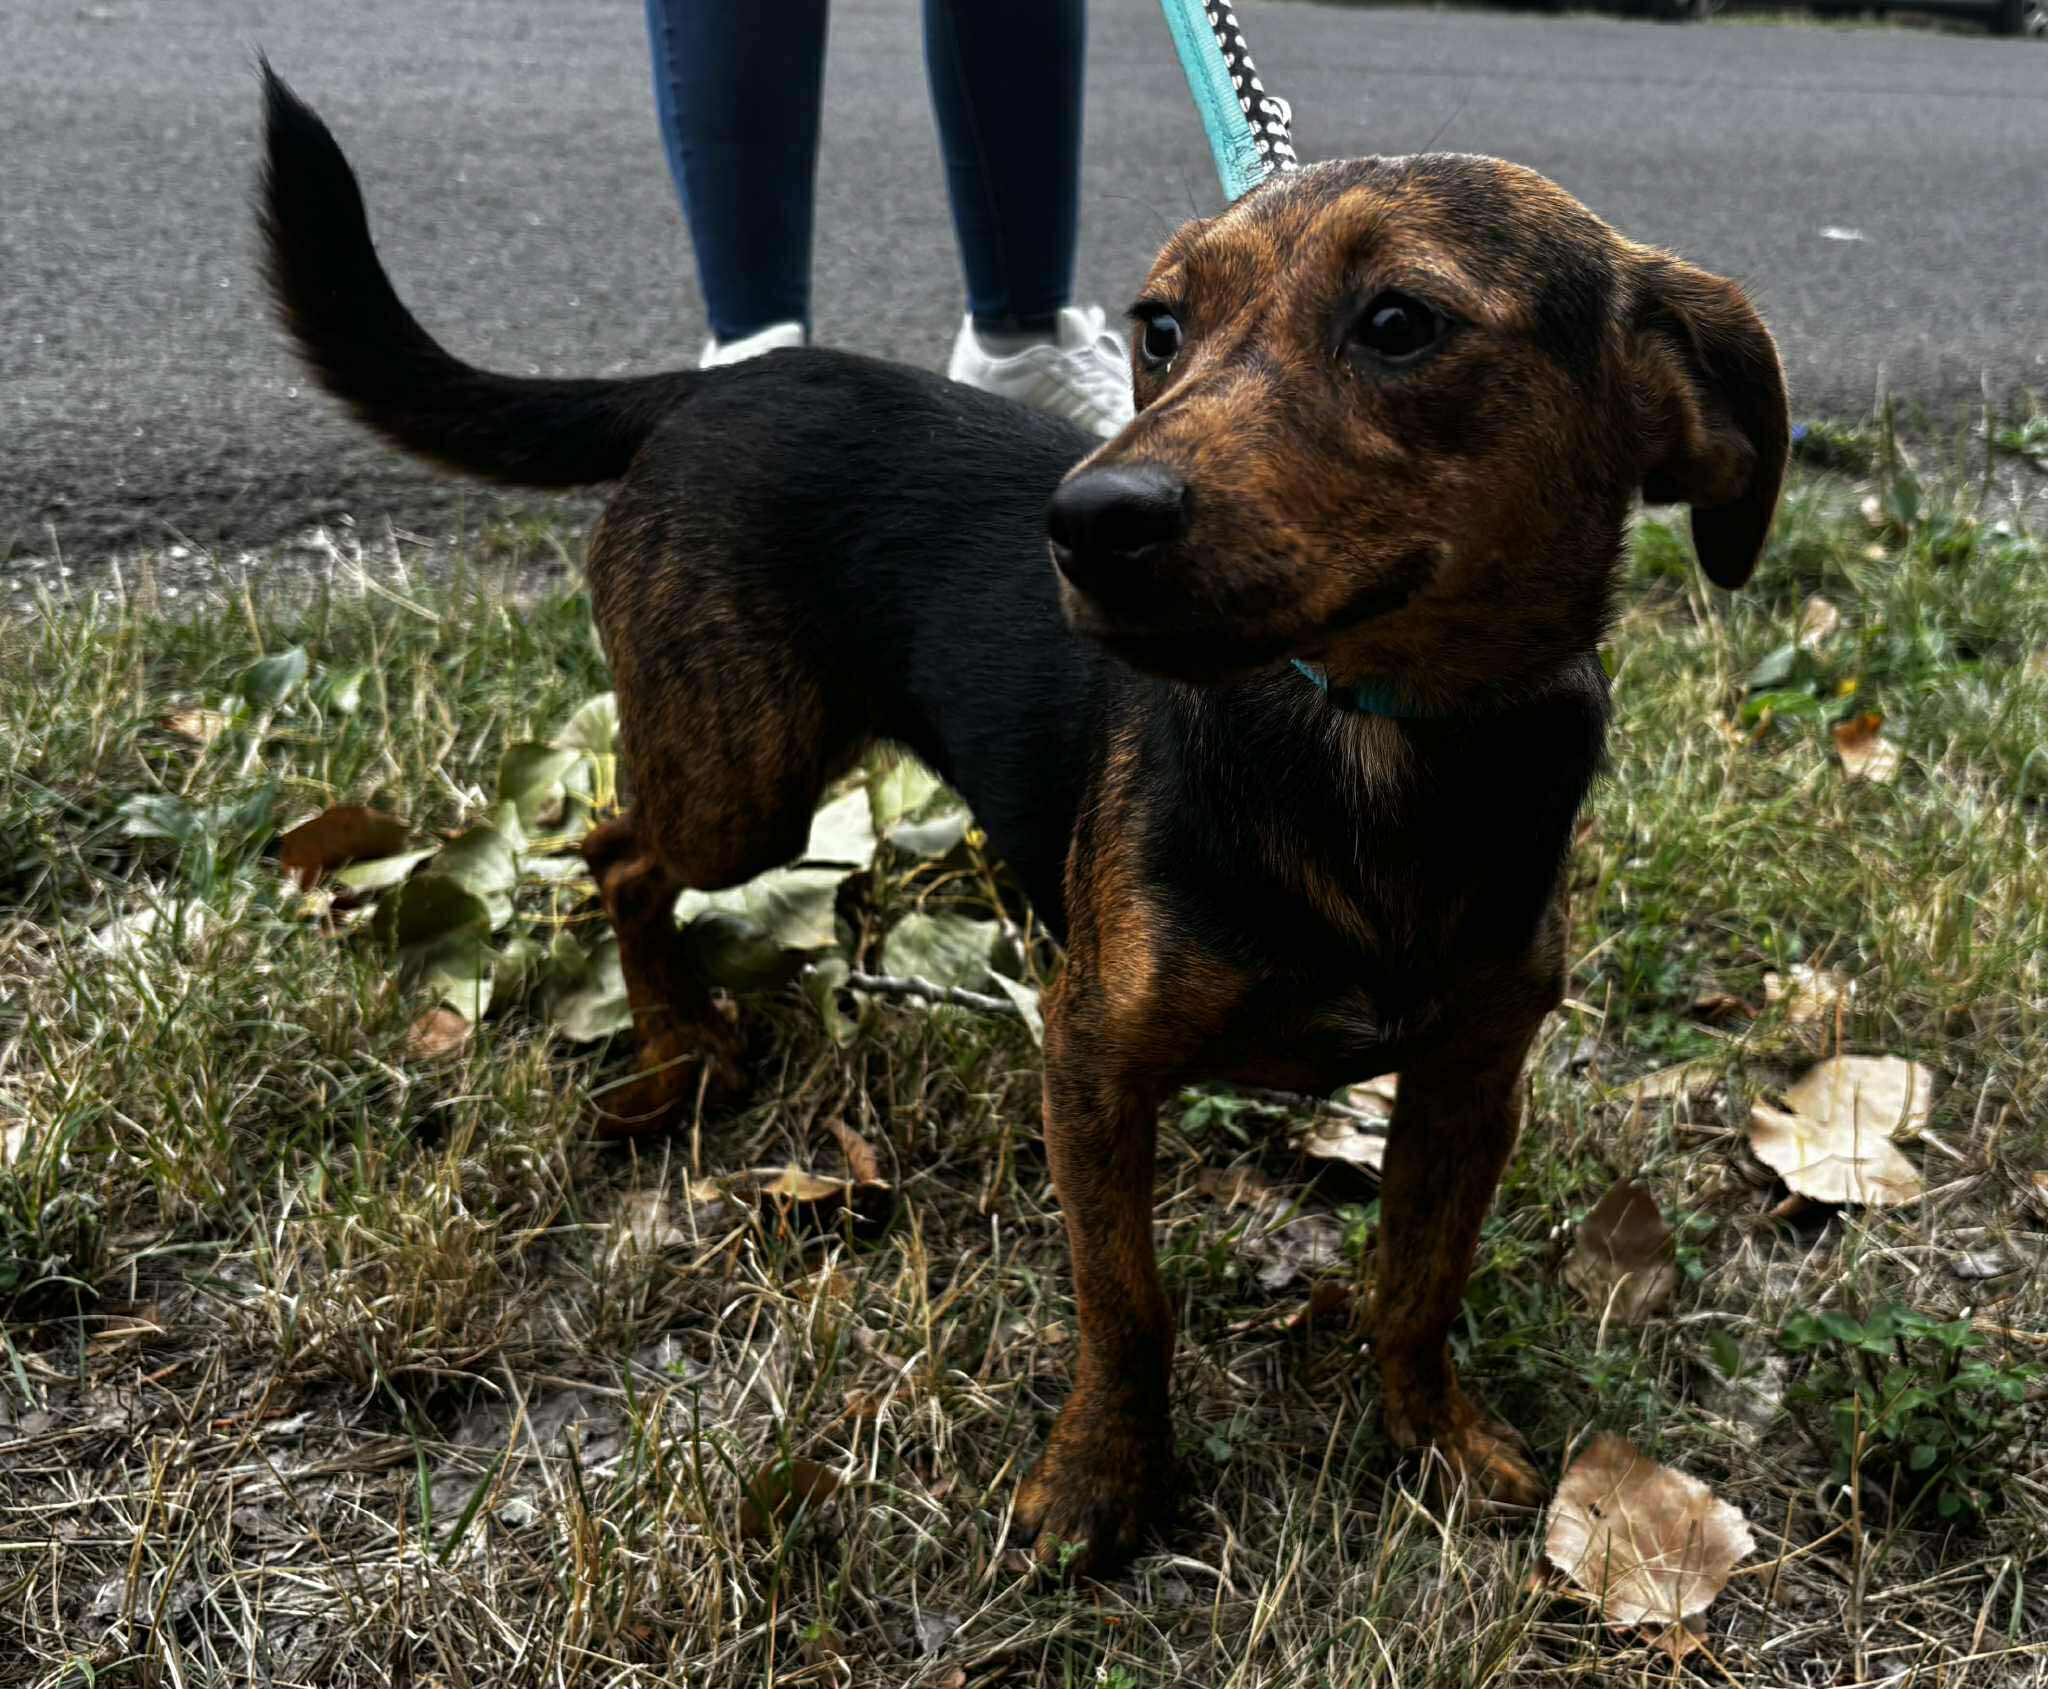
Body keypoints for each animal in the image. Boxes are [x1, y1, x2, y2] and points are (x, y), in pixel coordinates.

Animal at [259, 63, 1786, 1575]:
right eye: (1161, 328)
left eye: (1400, 323)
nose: (1088, 518)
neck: (1368, 742)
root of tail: (723, 384)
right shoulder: (1090, 1054)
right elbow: (1127, 1303)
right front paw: (1102, 1482)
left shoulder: (1473, 1075)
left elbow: (1418, 1280)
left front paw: (1432, 1438)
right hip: (742, 777)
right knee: (619, 852)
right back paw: (678, 1045)